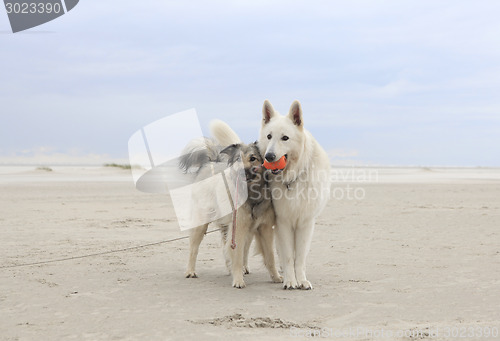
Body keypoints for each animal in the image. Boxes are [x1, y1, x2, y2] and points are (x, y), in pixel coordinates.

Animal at [258, 99, 332, 288]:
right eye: (269, 136)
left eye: (285, 138)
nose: (269, 156)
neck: (293, 177)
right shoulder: (283, 221)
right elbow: (288, 255)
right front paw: (291, 281)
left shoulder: (305, 223)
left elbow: (300, 256)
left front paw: (301, 280)